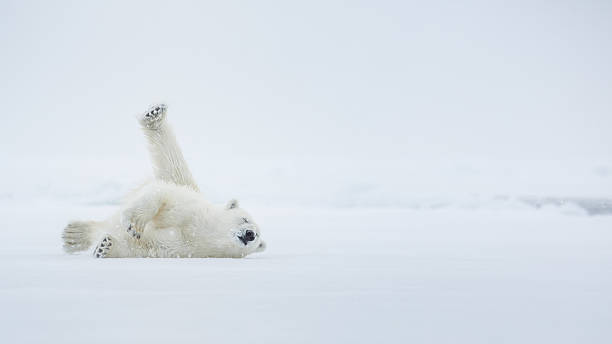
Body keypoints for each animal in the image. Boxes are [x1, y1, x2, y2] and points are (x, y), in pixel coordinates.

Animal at [60, 105, 268, 258]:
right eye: (245, 219)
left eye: (258, 237)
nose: (250, 234)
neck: (201, 231)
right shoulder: (188, 208)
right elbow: (162, 197)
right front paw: (134, 223)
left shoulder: (185, 249)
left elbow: (145, 247)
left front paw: (106, 247)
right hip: (180, 181)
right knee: (171, 160)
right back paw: (154, 116)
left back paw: (73, 236)